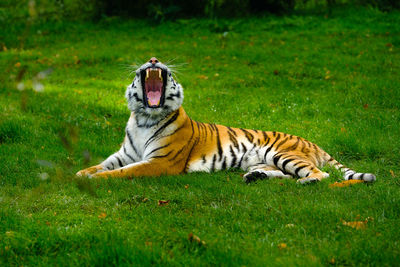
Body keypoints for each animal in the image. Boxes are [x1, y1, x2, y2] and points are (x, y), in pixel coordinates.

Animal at [74, 57, 376, 185]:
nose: (153, 59)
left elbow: (123, 172)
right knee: (285, 173)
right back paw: (255, 177)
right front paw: (80, 173)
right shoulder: (124, 154)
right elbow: (100, 165)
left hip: (283, 153)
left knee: (319, 175)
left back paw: (307, 183)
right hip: (262, 159)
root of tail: (314, 143)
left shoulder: (159, 162)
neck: (144, 119)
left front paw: (98, 179)